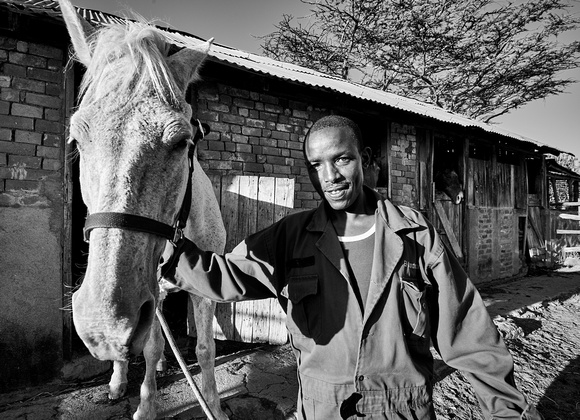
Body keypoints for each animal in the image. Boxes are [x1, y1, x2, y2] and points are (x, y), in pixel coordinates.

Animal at [59, 1, 229, 418]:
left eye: (183, 141)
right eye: (77, 138)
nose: (102, 324)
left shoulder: (202, 291)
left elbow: (205, 349)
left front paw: (214, 405)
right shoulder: (146, 296)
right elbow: (149, 347)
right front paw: (147, 405)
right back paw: (119, 382)